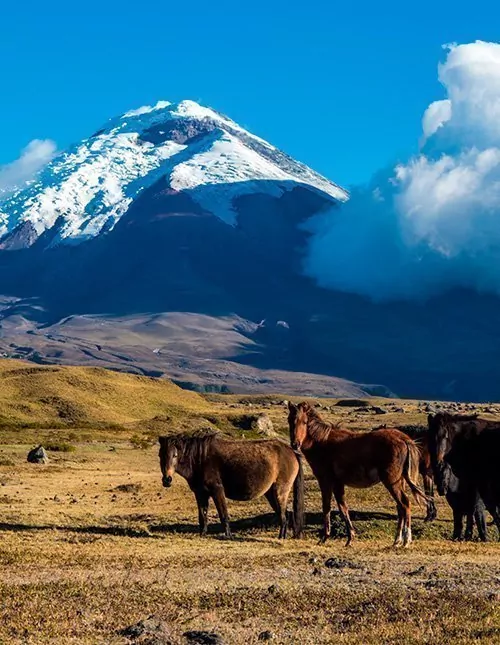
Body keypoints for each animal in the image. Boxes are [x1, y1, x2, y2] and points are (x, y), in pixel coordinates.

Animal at [158, 432, 304, 540]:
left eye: (175, 455)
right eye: (160, 455)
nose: (167, 480)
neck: (200, 460)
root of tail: (292, 452)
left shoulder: (217, 491)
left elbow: (224, 515)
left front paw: (228, 536)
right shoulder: (200, 493)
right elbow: (202, 516)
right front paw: (202, 534)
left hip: (280, 492)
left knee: (284, 516)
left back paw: (281, 537)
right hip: (271, 494)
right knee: (284, 515)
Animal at [290, 402, 426, 544]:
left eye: (305, 422)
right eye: (290, 420)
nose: (295, 444)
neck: (321, 443)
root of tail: (404, 439)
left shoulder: (325, 481)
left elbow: (327, 506)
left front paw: (324, 538)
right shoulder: (338, 483)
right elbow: (343, 507)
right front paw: (350, 538)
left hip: (391, 481)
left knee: (405, 504)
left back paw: (406, 540)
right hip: (400, 481)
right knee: (400, 507)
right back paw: (397, 541)